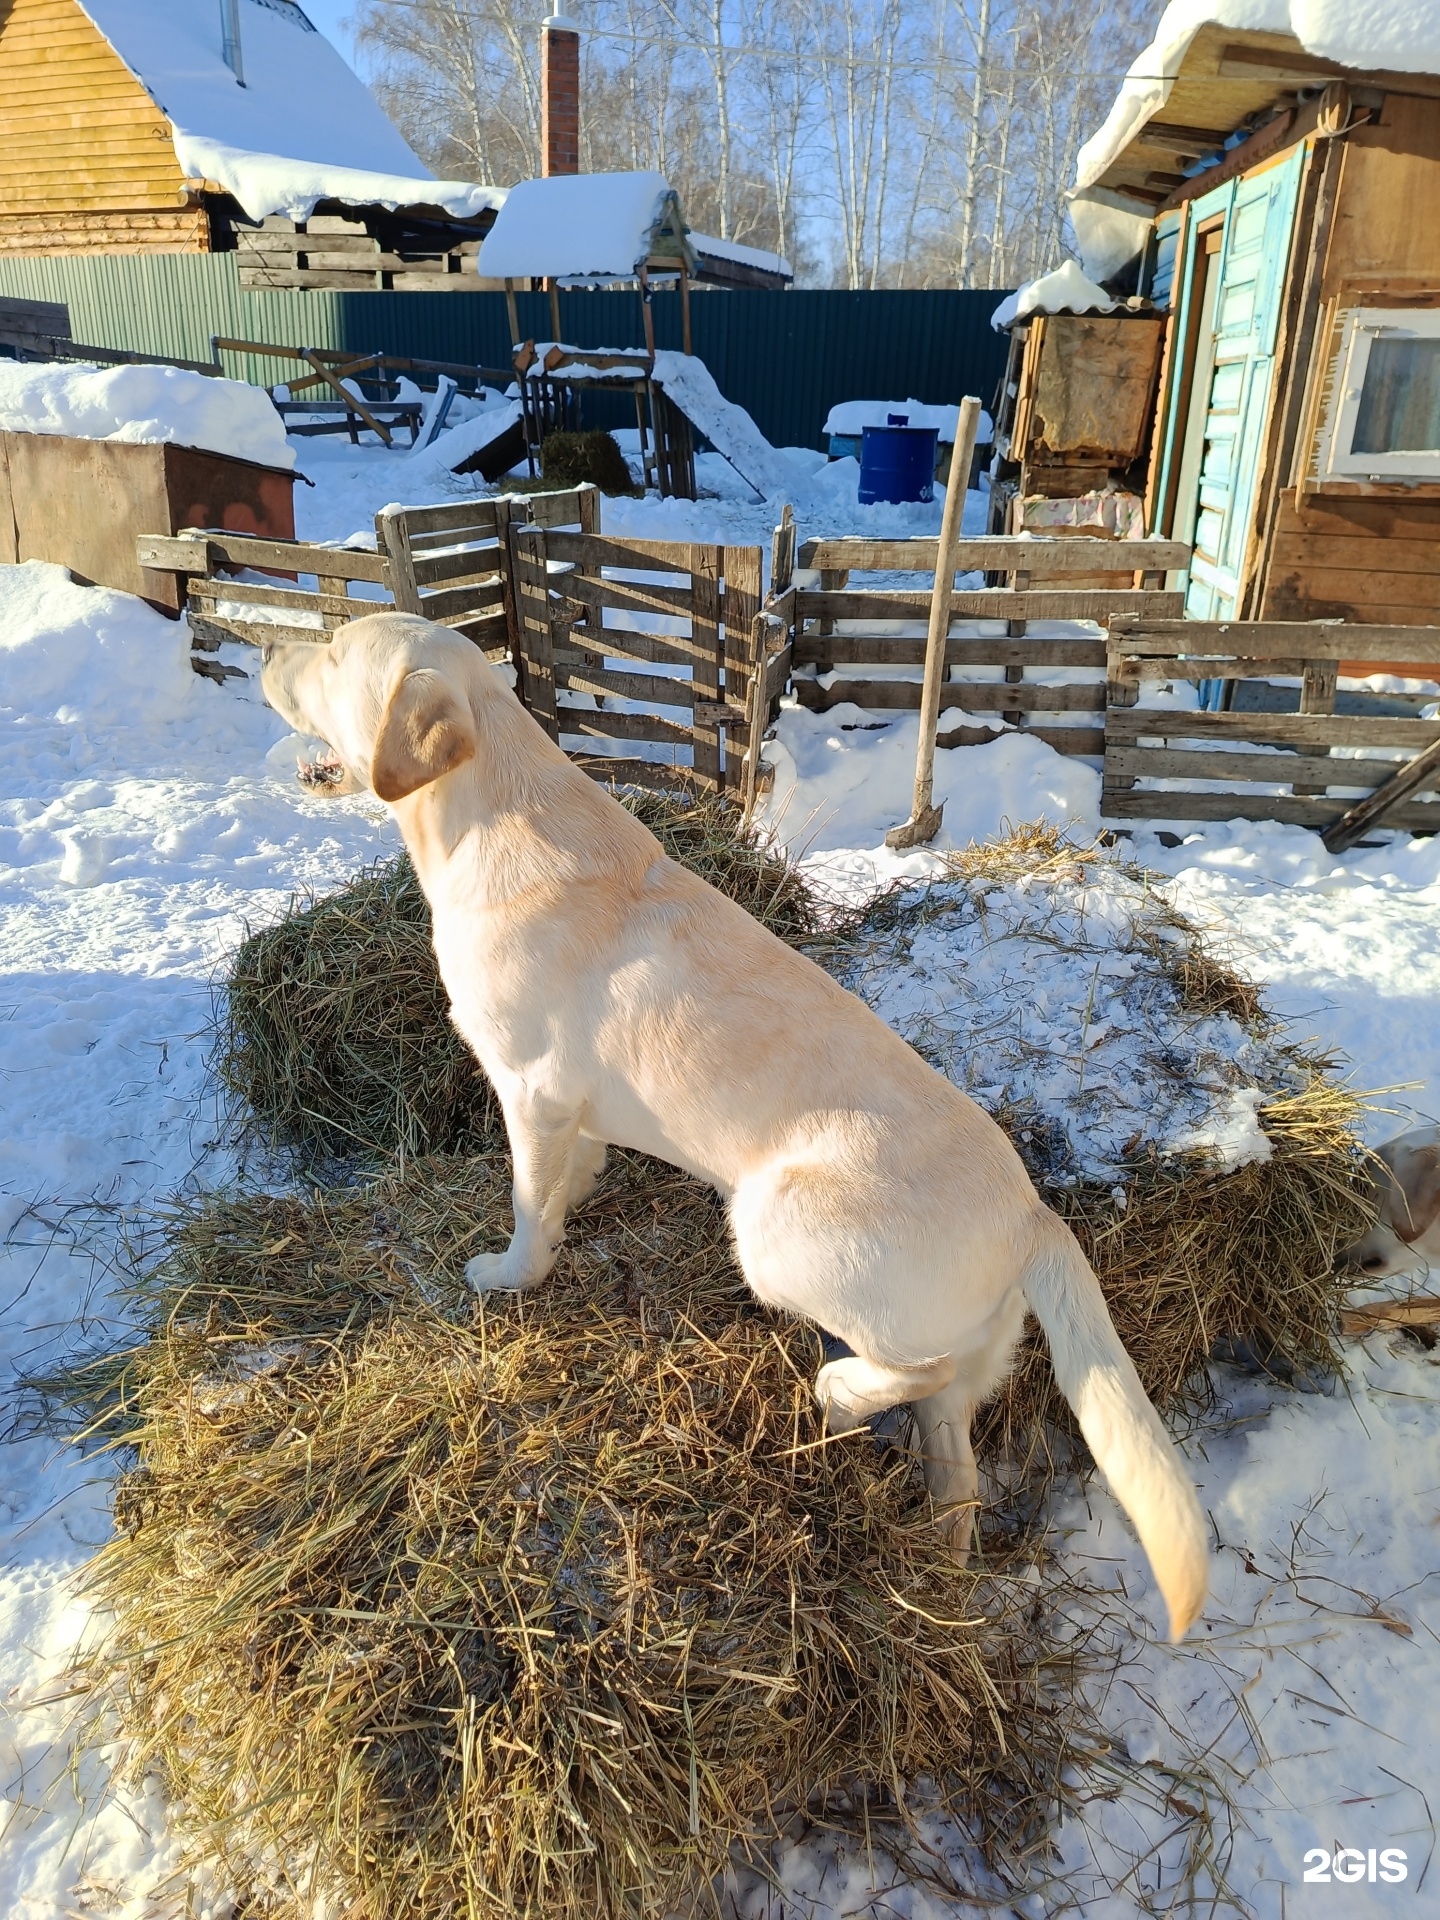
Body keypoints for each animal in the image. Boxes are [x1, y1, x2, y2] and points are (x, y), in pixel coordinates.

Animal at [264, 614, 1213, 1635]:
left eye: (331, 656)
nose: (265, 652)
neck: (488, 814)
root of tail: (1033, 1216)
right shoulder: (568, 1112)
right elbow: (574, 1173)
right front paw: (580, 1195)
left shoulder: (530, 1091)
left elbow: (527, 1210)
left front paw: (509, 1276)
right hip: (961, 1372)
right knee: (955, 1473)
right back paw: (929, 1570)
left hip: (768, 1224)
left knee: (906, 1365)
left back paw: (837, 1395)